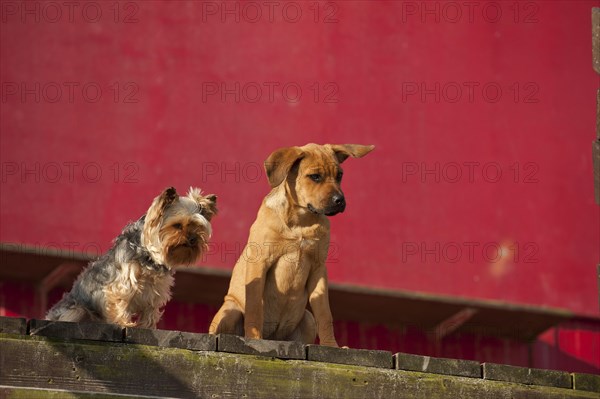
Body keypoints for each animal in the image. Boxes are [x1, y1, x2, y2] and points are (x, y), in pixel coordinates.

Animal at [46, 187, 218, 328]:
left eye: (197, 226)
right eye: (177, 225)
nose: (194, 239)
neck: (149, 256)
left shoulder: (156, 291)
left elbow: (150, 312)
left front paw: (146, 327)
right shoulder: (122, 284)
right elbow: (122, 302)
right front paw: (125, 324)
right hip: (76, 309)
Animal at [209, 144, 372, 346]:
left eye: (340, 175)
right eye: (315, 176)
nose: (340, 201)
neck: (301, 222)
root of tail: (274, 337)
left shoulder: (319, 269)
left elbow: (325, 314)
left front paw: (331, 346)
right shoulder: (259, 262)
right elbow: (254, 308)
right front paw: (254, 339)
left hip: (308, 320)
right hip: (230, 310)